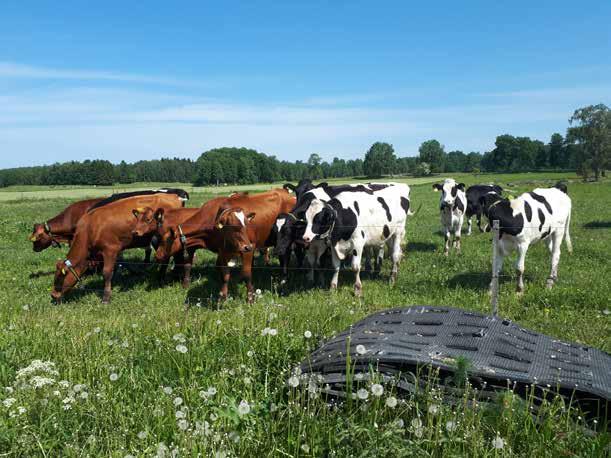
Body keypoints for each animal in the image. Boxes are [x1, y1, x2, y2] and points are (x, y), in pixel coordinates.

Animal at [50, 191, 186, 304]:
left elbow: (107, 272)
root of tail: (174, 196)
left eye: (59, 278)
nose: (53, 295)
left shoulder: (110, 250)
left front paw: (106, 297)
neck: (90, 228)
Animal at [154, 189, 296, 300]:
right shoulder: (221, 251)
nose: (157, 255)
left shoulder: (248, 248)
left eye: (165, 239)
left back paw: (284, 278)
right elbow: (220, 272)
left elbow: (246, 273)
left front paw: (249, 297)